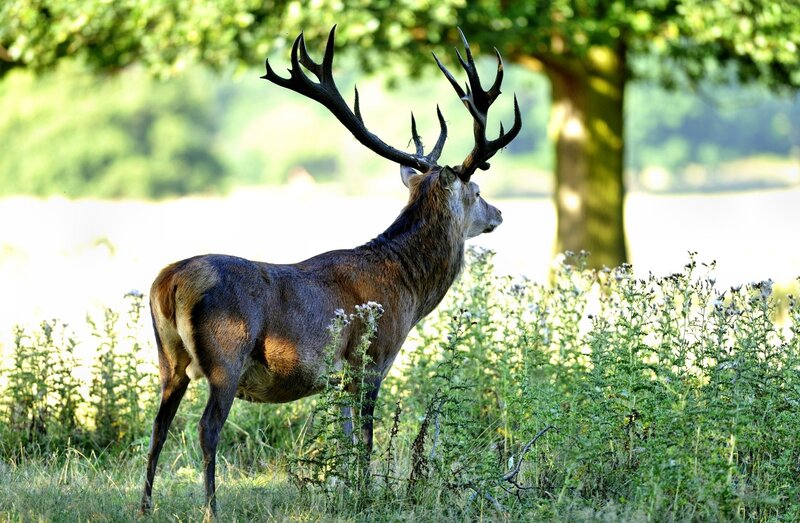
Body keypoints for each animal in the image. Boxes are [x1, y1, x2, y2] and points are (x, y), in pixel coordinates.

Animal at [139, 26, 521, 516]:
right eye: (477, 190)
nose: (499, 214)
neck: (407, 289)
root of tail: (170, 283)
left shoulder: (335, 380)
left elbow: (344, 440)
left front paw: (345, 491)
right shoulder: (371, 360)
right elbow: (367, 441)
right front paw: (367, 495)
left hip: (167, 357)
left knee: (158, 426)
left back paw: (144, 507)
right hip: (226, 353)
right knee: (207, 428)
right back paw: (211, 510)